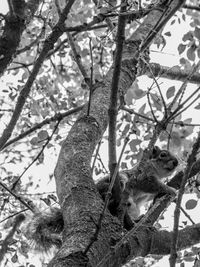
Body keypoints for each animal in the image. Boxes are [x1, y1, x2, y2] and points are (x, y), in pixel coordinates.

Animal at [23, 147, 178, 251]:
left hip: (133, 208)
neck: (156, 170)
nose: (176, 162)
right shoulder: (142, 176)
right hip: (112, 183)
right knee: (117, 188)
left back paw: (136, 221)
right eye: (163, 154)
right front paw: (171, 190)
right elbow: (152, 184)